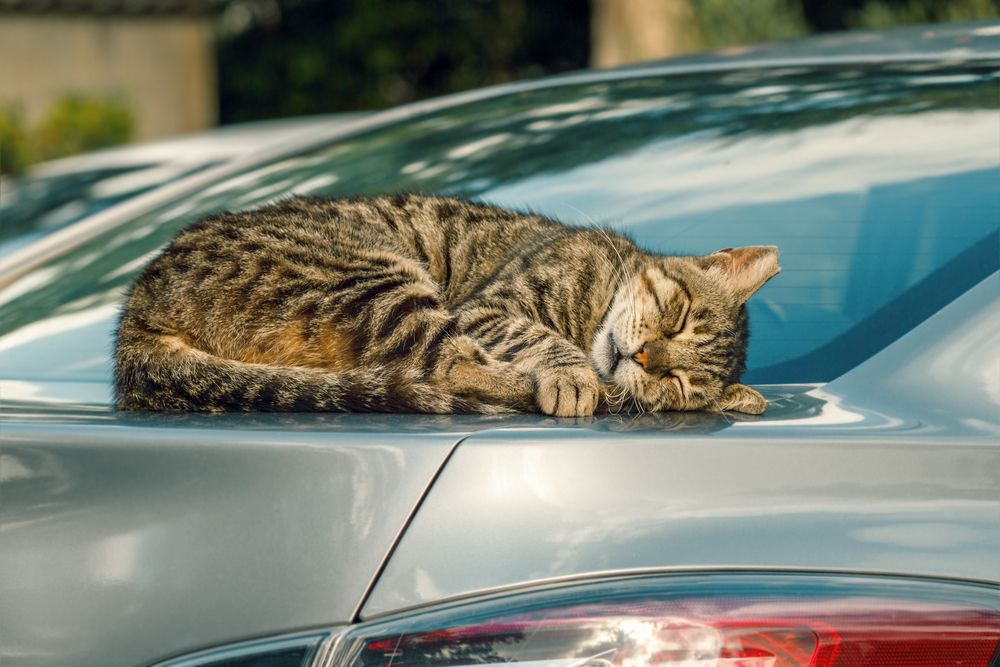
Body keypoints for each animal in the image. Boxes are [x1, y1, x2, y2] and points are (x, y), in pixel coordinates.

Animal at [113, 193, 776, 414]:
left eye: (680, 384)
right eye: (678, 317)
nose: (643, 359)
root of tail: (138, 309)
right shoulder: (493, 308)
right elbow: (542, 339)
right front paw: (575, 375)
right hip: (375, 277)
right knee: (452, 363)